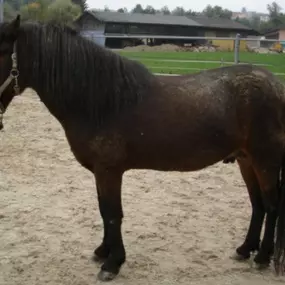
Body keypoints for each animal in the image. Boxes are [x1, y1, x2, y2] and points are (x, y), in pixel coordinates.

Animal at [0, 15, 284, 280]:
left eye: (1, 52)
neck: (100, 102)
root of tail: (275, 85)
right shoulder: (100, 172)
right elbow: (103, 210)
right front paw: (103, 252)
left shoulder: (109, 171)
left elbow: (112, 213)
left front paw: (112, 264)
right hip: (246, 160)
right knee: (258, 205)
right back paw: (245, 250)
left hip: (265, 160)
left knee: (272, 206)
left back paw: (263, 257)